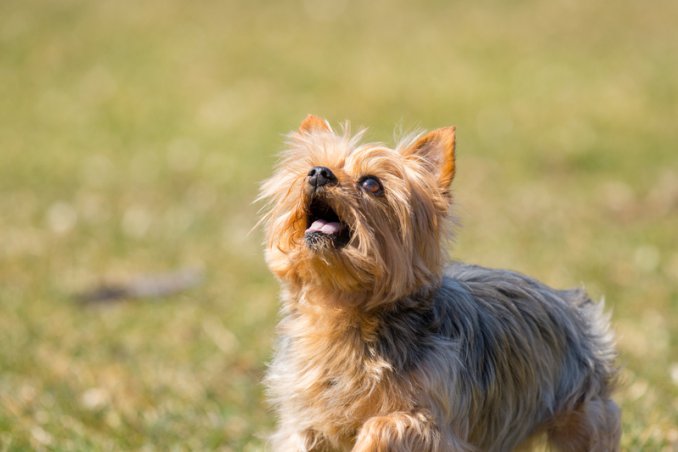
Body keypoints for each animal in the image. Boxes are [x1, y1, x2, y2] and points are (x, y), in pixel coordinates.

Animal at [258, 115, 620, 450]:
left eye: (372, 184)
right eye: (310, 168)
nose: (319, 173)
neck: (341, 308)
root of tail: (568, 299)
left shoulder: (434, 420)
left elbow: (384, 425)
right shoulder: (303, 418)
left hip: (583, 408)